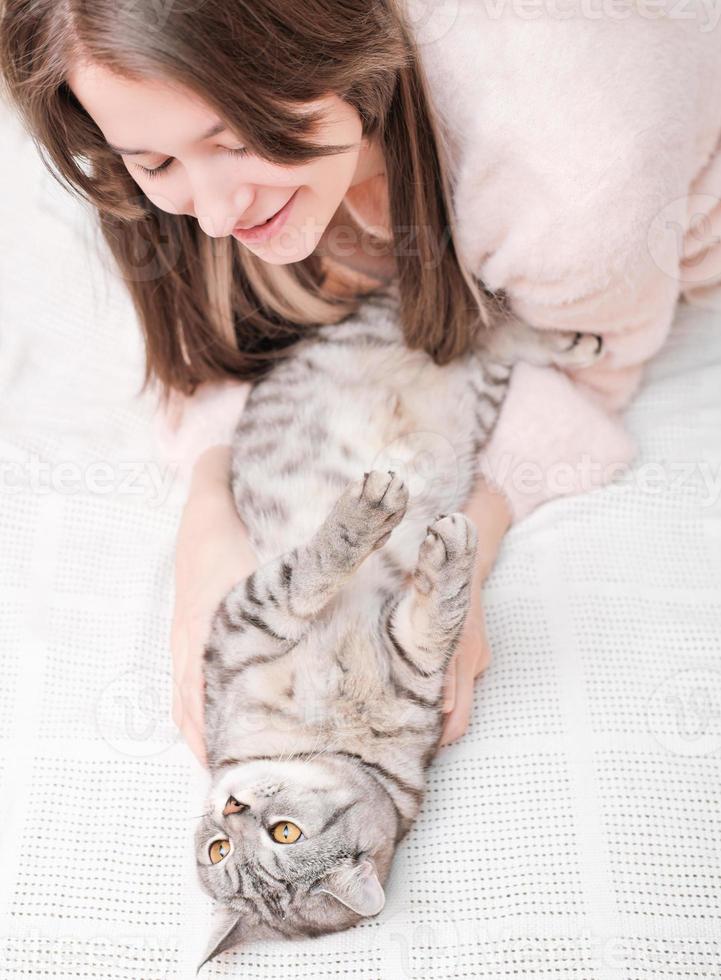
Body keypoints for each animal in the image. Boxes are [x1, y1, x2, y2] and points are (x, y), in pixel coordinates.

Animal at [193, 286, 600, 972]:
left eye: (284, 832)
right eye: (221, 848)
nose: (232, 805)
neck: (332, 739)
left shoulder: (245, 620)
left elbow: (314, 570)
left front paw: (368, 518)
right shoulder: (403, 657)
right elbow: (423, 613)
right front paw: (432, 546)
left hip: (396, 335)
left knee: (480, 325)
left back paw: (572, 339)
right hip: (475, 396)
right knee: (489, 342)